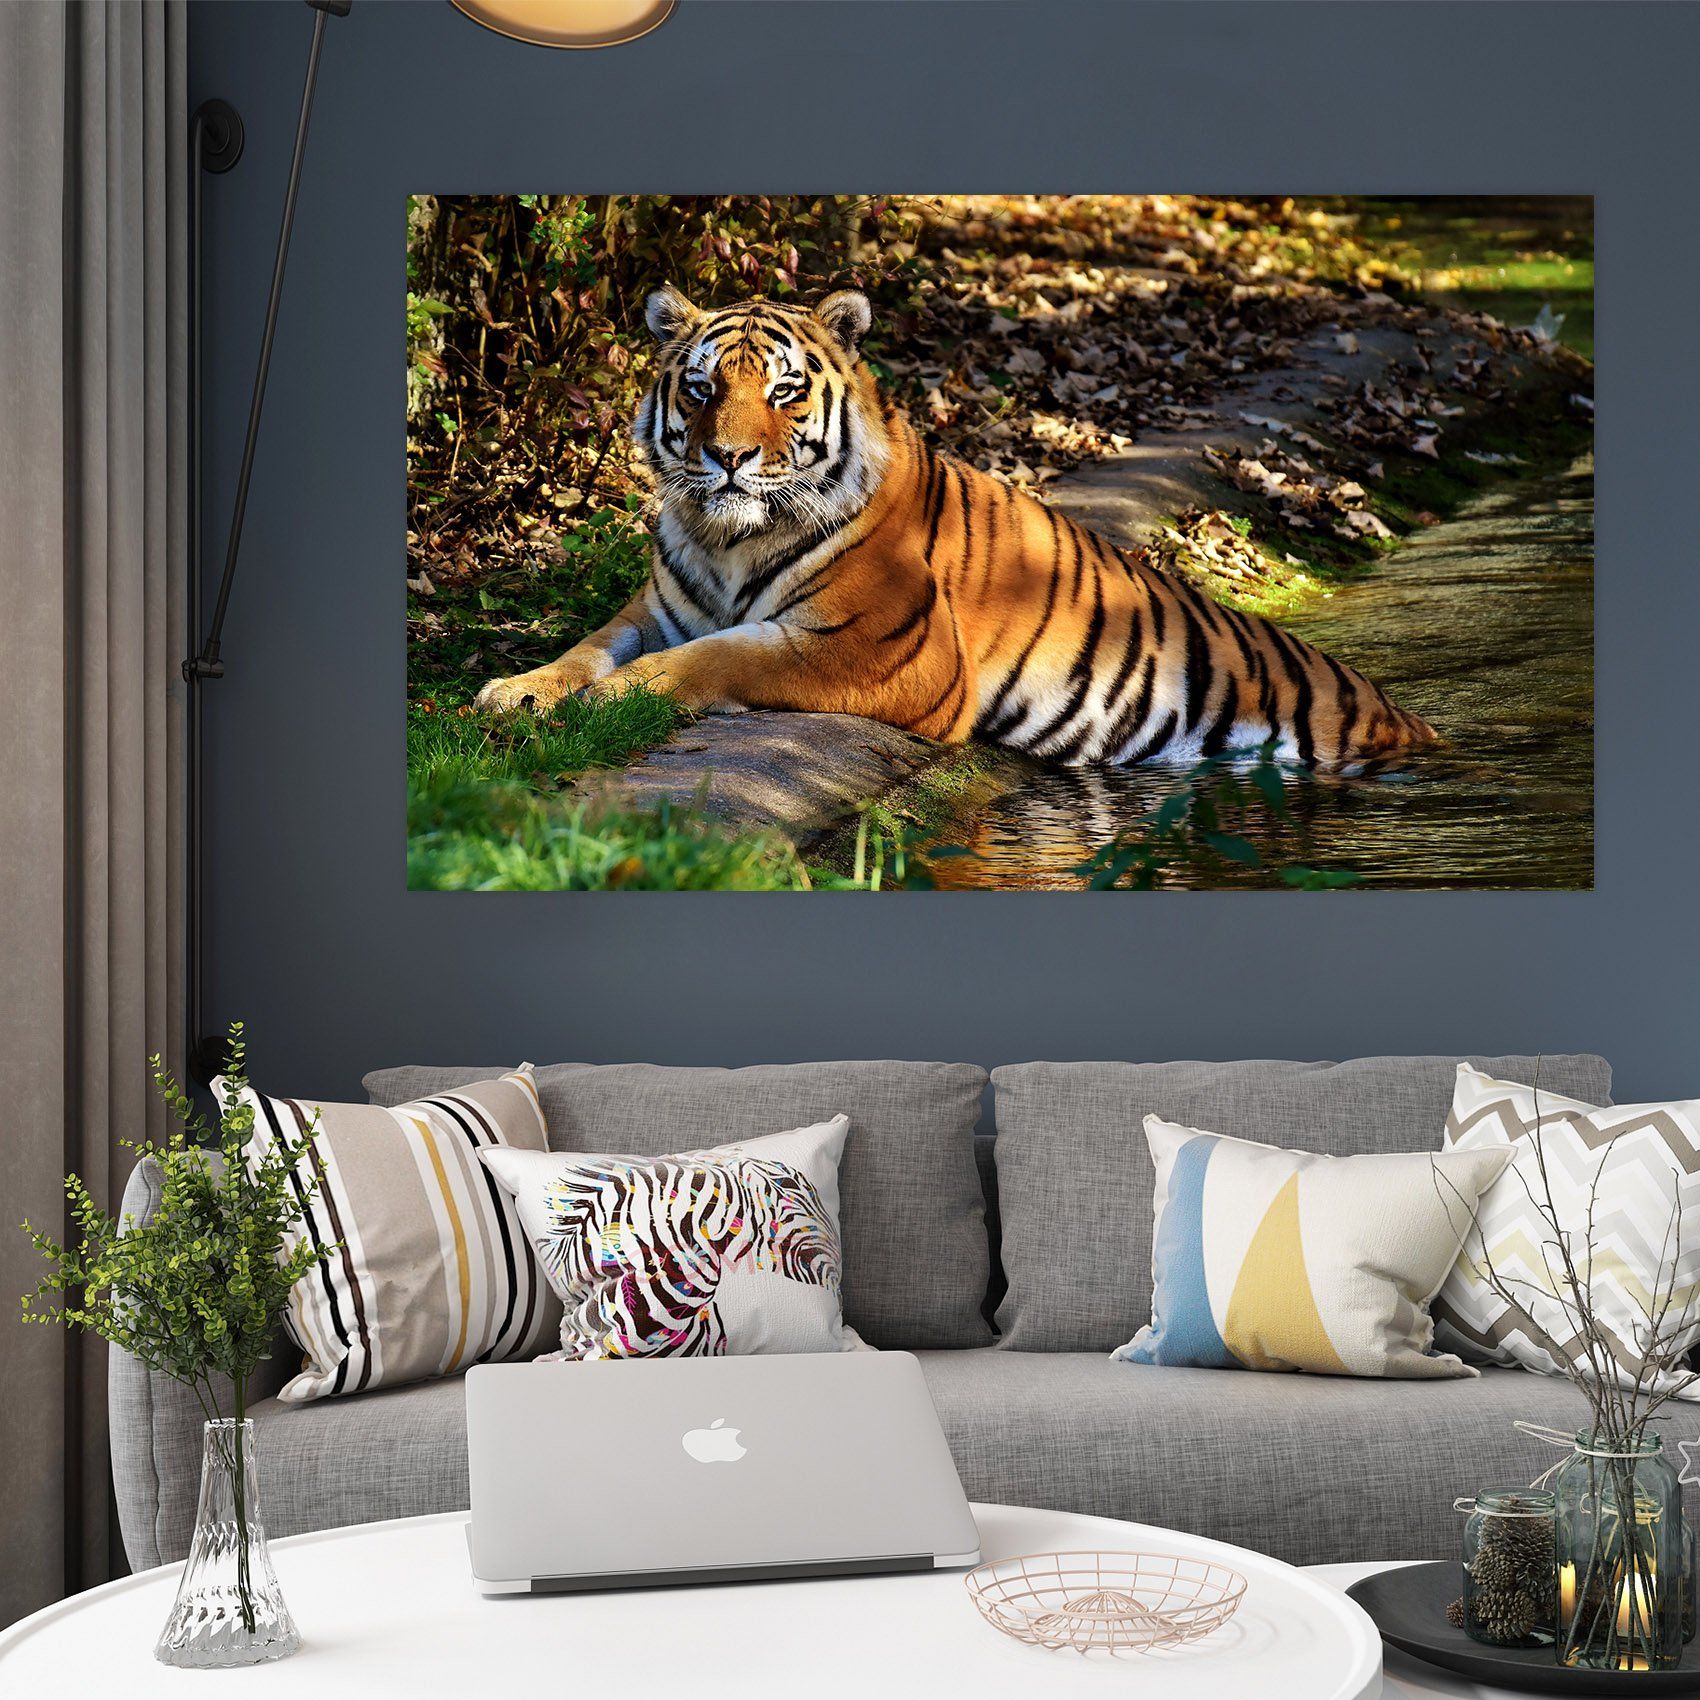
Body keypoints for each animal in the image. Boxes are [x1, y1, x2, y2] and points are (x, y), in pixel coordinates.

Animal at [475, 283, 1437, 770]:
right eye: (704, 388)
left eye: (783, 391)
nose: (730, 458)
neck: (727, 539)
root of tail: (1409, 718)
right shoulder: (655, 611)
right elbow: (589, 646)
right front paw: (519, 690)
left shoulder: (884, 648)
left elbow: (722, 657)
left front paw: (612, 700)